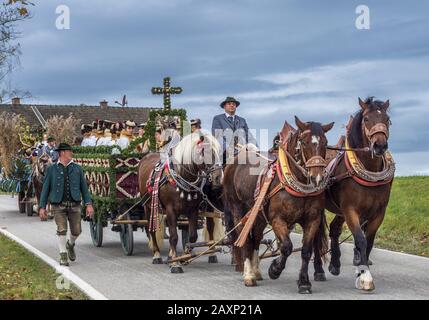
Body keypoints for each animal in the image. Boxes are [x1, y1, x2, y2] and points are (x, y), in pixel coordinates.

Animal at [138, 131, 224, 272]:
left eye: (219, 152)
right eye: (205, 152)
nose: (218, 178)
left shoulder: (193, 210)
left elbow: (192, 236)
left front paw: (183, 257)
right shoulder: (171, 210)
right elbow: (174, 237)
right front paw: (175, 264)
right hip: (148, 206)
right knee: (151, 230)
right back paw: (157, 255)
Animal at [224, 117, 334, 292]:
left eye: (326, 142)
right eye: (304, 142)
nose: (317, 177)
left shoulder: (313, 220)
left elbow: (306, 250)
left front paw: (304, 282)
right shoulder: (277, 219)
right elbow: (287, 246)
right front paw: (275, 269)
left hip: (258, 215)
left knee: (256, 238)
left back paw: (256, 271)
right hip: (238, 210)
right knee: (245, 238)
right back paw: (248, 275)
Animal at [312, 97, 392, 290]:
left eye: (387, 119)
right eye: (366, 119)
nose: (380, 146)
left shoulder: (378, 213)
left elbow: (368, 241)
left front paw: (361, 269)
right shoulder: (350, 209)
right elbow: (360, 239)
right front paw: (365, 278)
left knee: (334, 229)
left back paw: (334, 264)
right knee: (316, 236)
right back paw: (319, 271)